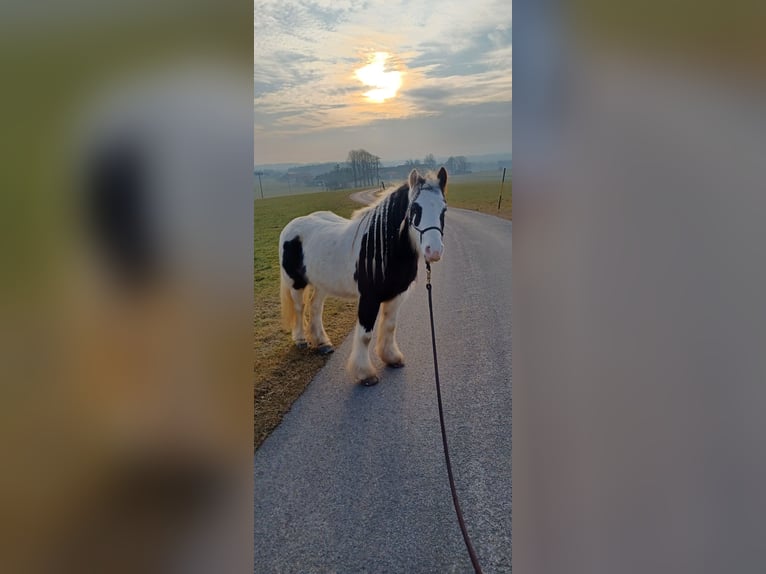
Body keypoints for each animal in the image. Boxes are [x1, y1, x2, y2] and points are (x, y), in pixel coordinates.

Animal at [278, 170, 448, 388]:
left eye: (444, 209)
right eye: (415, 208)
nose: (433, 251)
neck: (382, 247)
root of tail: (292, 225)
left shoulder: (397, 295)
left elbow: (390, 326)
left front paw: (391, 358)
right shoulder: (369, 298)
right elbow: (366, 335)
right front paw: (365, 374)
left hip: (322, 283)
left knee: (315, 308)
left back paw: (322, 343)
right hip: (295, 282)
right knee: (300, 308)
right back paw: (300, 340)